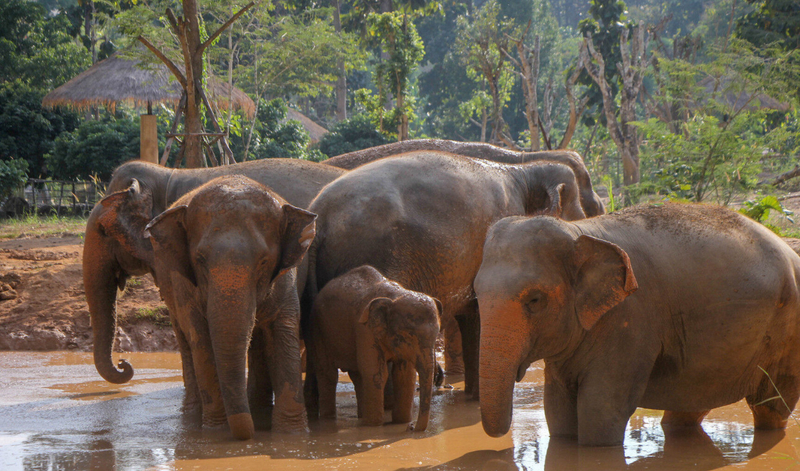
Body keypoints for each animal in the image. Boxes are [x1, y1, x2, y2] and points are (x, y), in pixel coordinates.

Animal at [144, 175, 316, 439]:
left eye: (264, 262)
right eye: (200, 260)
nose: (248, 435)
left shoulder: (286, 279)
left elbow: (282, 334)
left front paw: (292, 436)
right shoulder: (185, 285)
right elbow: (201, 341)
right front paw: (215, 435)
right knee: (186, 342)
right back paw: (193, 417)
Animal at [303, 150, 590, 400]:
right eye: (580, 217)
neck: (524, 170)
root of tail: (321, 217)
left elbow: (471, 315)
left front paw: (471, 397)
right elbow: (481, 314)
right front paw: (475, 402)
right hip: (376, 253)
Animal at [305, 265, 442, 432]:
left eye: (437, 334)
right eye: (407, 337)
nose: (412, 428)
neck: (395, 296)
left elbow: (404, 375)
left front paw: (400, 422)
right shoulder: (365, 329)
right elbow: (376, 373)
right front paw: (374, 426)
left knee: (357, 376)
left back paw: (360, 417)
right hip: (317, 329)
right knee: (328, 374)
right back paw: (329, 420)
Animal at [474, 202, 800, 446]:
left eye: (535, 300)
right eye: (476, 294)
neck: (581, 230)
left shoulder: (631, 321)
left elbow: (600, 412)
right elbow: (558, 410)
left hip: (789, 334)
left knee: (771, 409)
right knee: (689, 407)